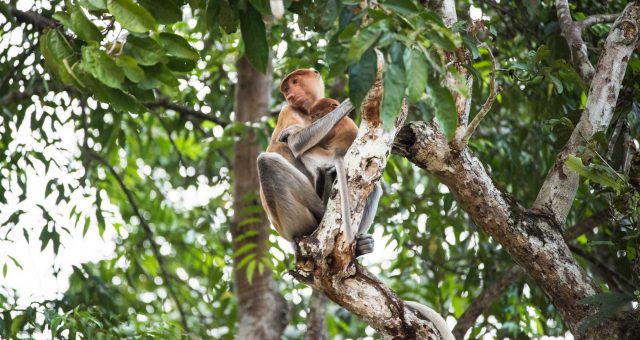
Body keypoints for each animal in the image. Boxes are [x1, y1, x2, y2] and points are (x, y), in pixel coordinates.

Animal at [256, 68, 380, 255]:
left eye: (295, 82)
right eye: (286, 89)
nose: (290, 95)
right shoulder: (287, 110)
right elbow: (297, 143)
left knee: (374, 186)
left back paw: (360, 245)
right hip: (296, 221)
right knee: (266, 162)